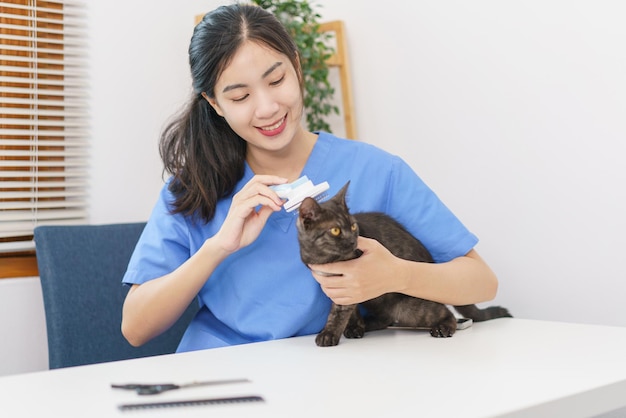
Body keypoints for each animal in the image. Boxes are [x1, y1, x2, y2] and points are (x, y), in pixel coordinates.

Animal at [294, 181, 510, 348]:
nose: (353, 241)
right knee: (386, 317)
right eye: (336, 230)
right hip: (376, 300)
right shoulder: (342, 288)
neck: (321, 256)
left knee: (446, 312)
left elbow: (339, 312)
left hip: (408, 308)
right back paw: (368, 323)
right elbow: (351, 310)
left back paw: (444, 327)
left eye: (354, 227)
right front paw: (355, 327)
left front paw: (329, 334)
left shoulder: (349, 283)